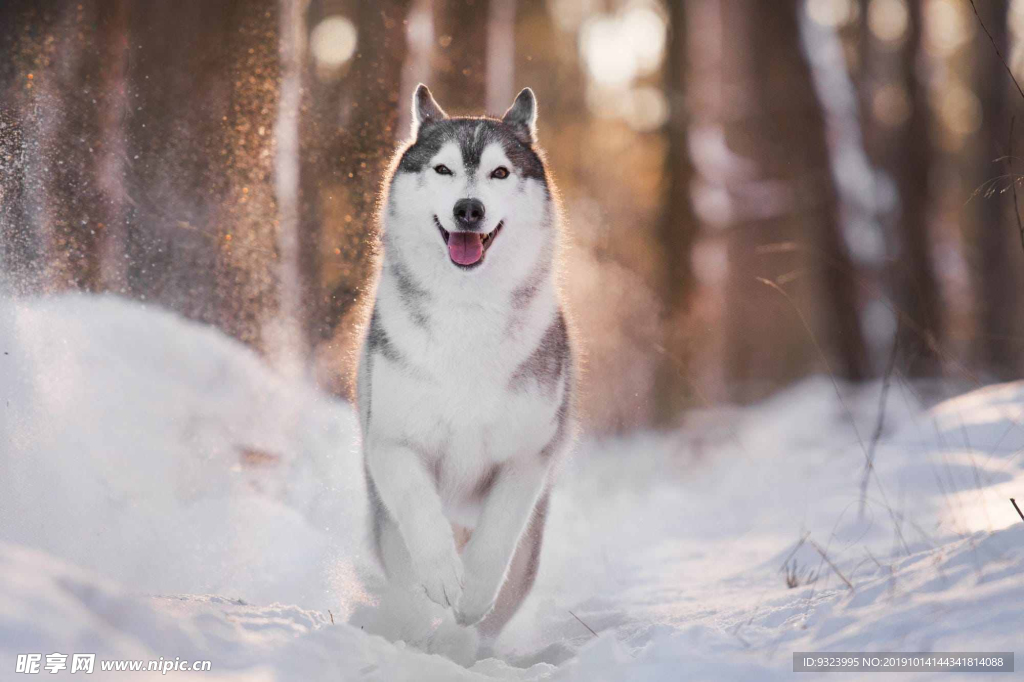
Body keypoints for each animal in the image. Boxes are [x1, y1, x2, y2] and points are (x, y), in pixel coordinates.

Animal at [356, 82, 573, 655]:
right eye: (443, 169)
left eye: (499, 172)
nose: (469, 209)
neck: (466, 310)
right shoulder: (391, 441)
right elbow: (418, 508)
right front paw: (440, 576)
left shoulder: (526, 457)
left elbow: (495, 537)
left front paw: (470, 592)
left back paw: (457, 646)